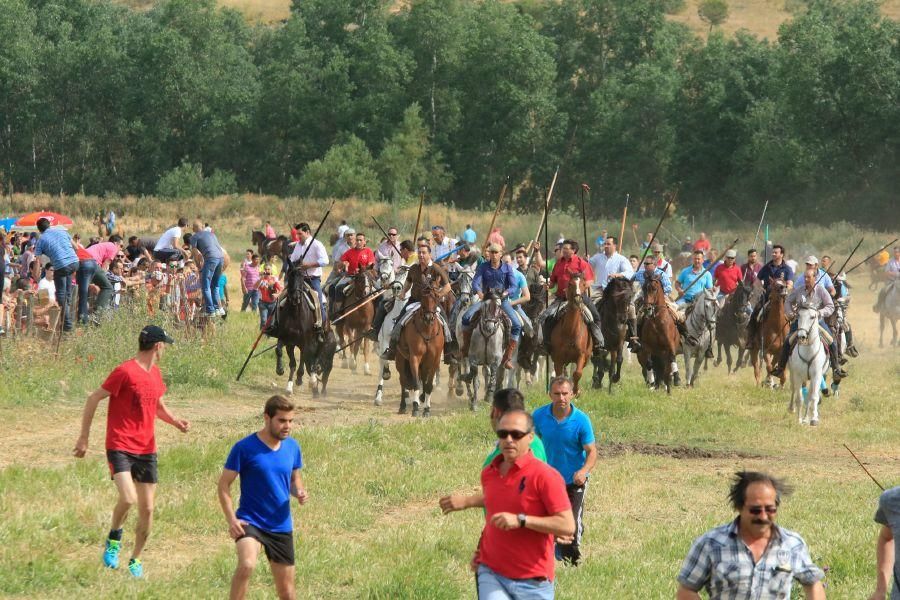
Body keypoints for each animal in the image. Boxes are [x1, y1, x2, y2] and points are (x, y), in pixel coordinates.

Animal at [274, 268, 338, 398]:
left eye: (301, 277)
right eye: (290, 275)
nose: (295, 297)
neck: (295, 314)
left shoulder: (305, 343)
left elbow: (303, 361)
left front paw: (302, 380)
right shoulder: (287, 341)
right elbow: (284, 356)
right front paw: (282, 374)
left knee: (317, 363)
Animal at [398, 282, 446, 418]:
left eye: (436, 297)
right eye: (422, 297)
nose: (429, 317)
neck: (427, 331)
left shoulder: (435, 360)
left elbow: (428, 385)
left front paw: (427, 409)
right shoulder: (414, 357)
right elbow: (415, 383)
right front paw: (415, 408)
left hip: (425, 363)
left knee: (423, 379)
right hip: (401, 359)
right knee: (403, 380)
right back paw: (403, 406)